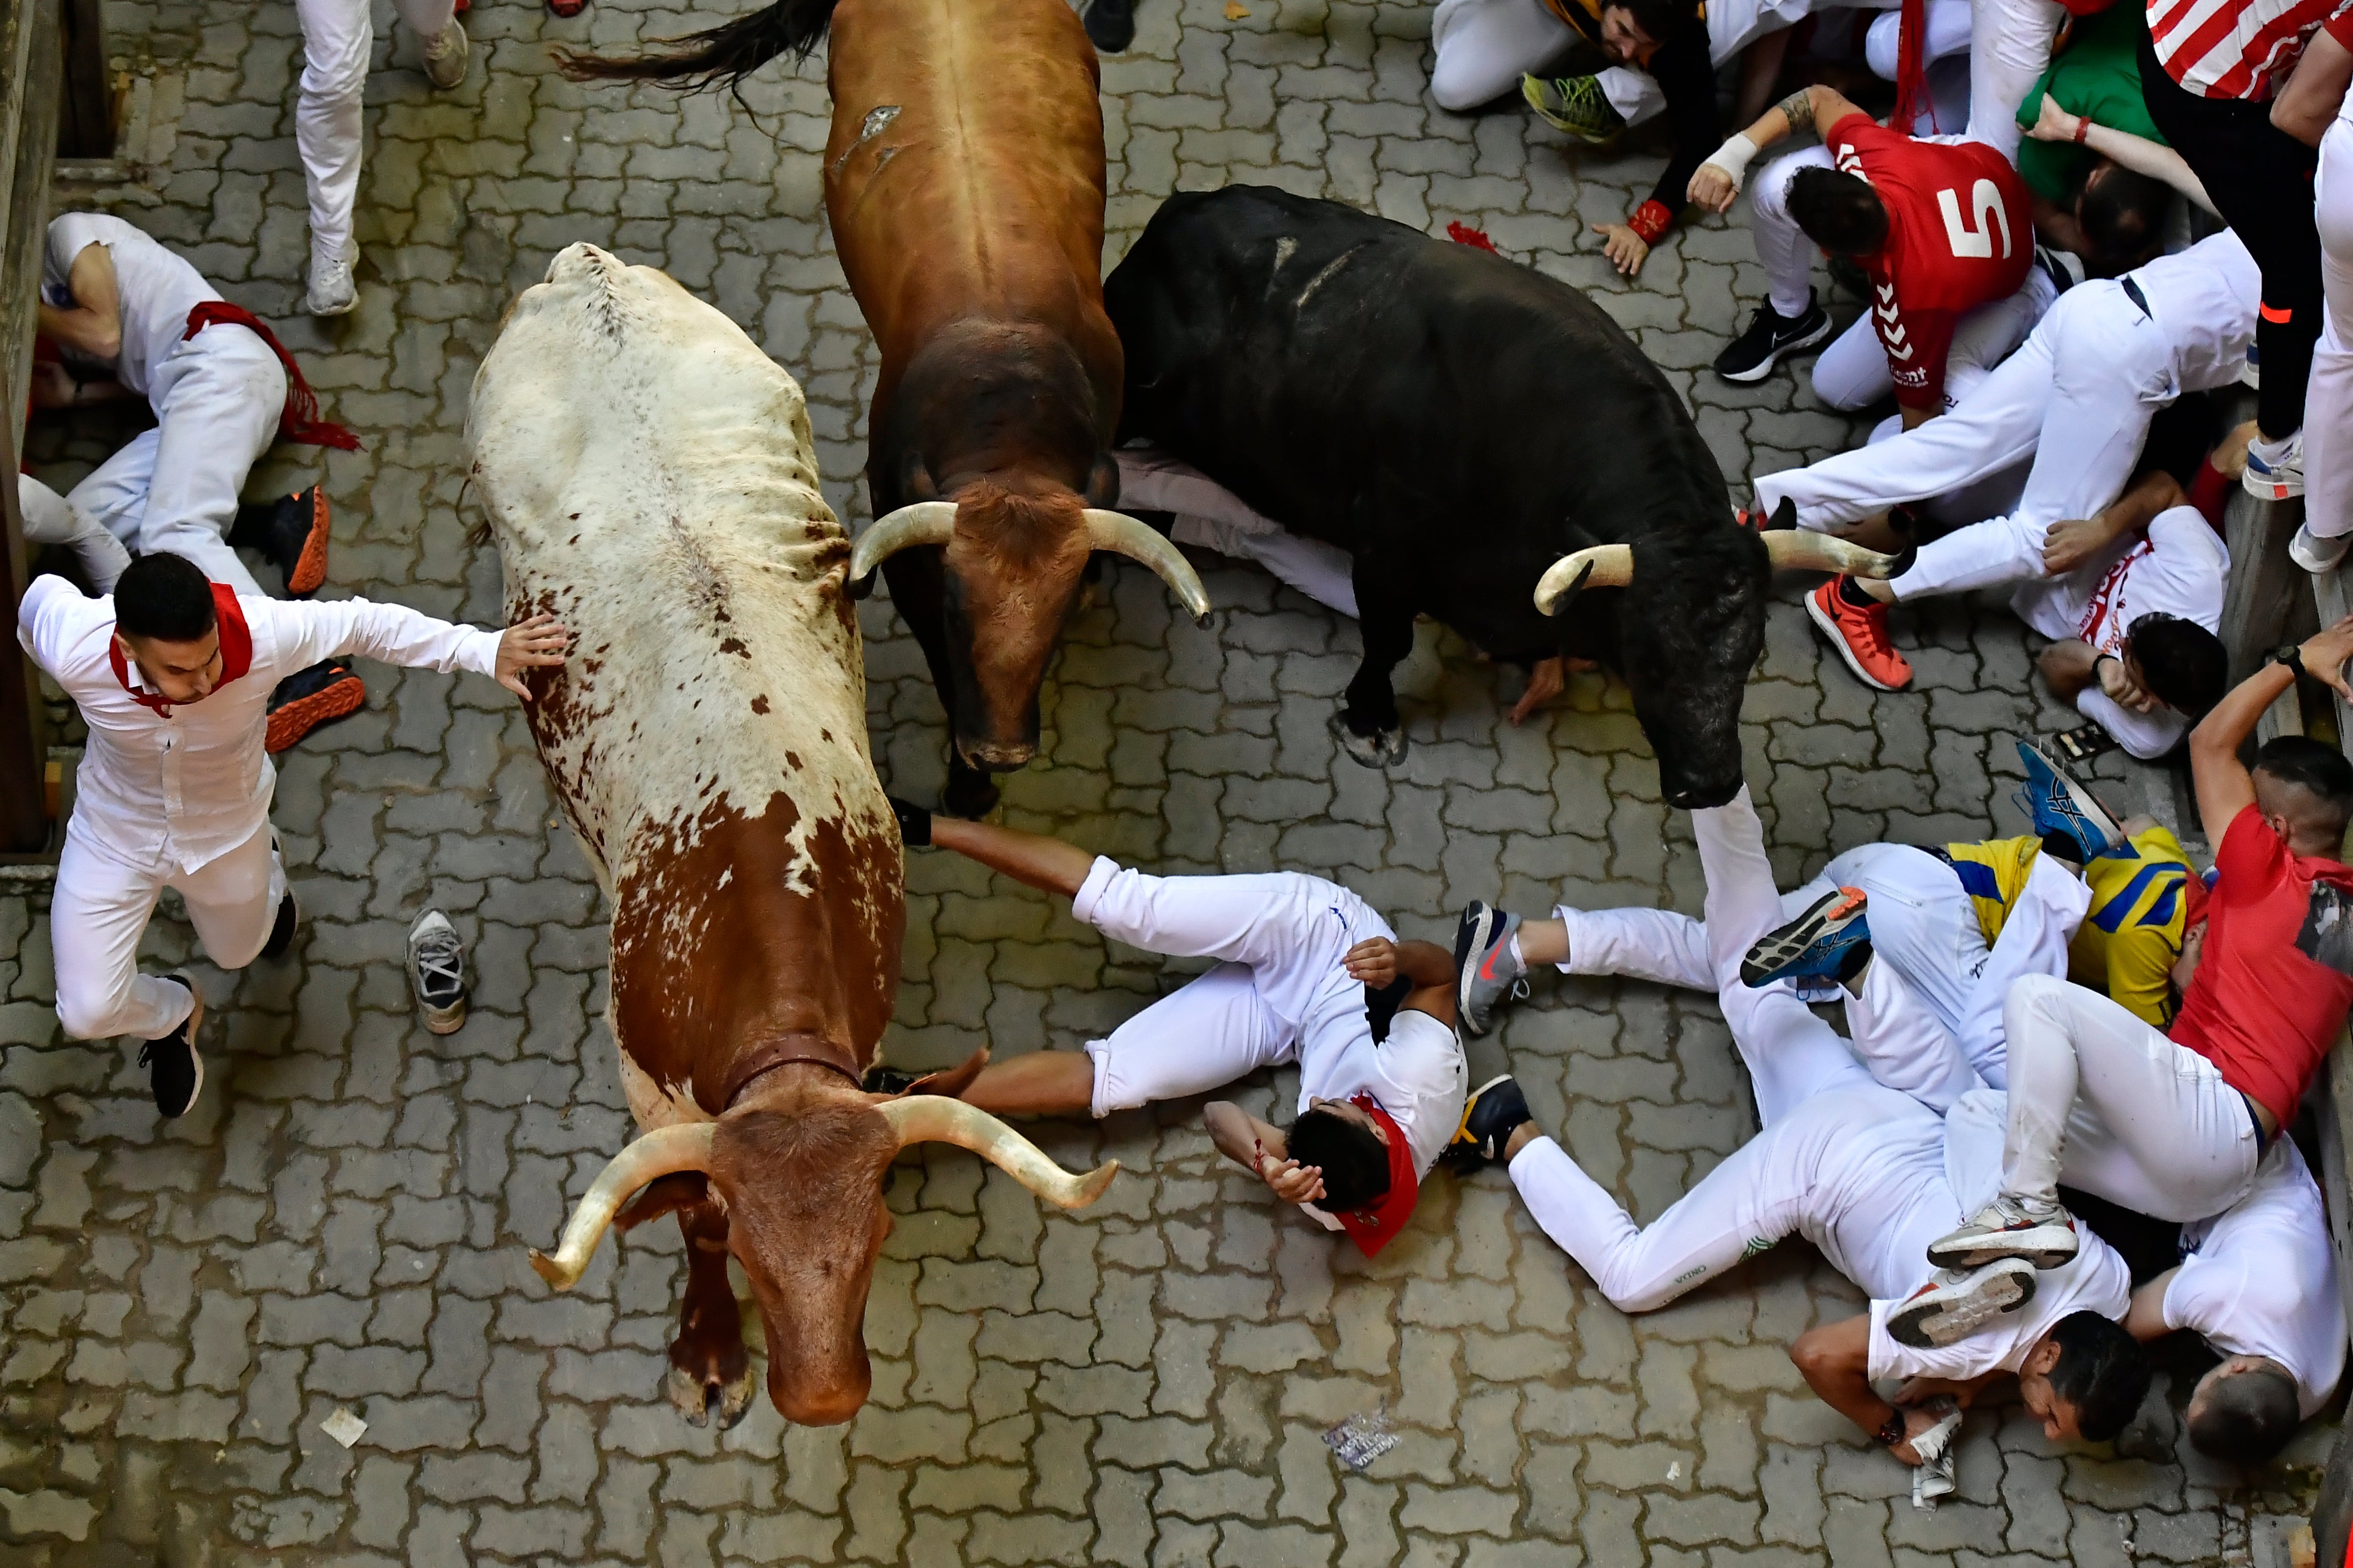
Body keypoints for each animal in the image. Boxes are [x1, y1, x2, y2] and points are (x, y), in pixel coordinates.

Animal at [1101, 187, 1769, 808]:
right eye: (1647, 655)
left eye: (1751, 654)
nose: (1710, 785)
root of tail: (1182, 208)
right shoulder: (1385, 553)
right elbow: (1388, 643)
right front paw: (1370, 723)